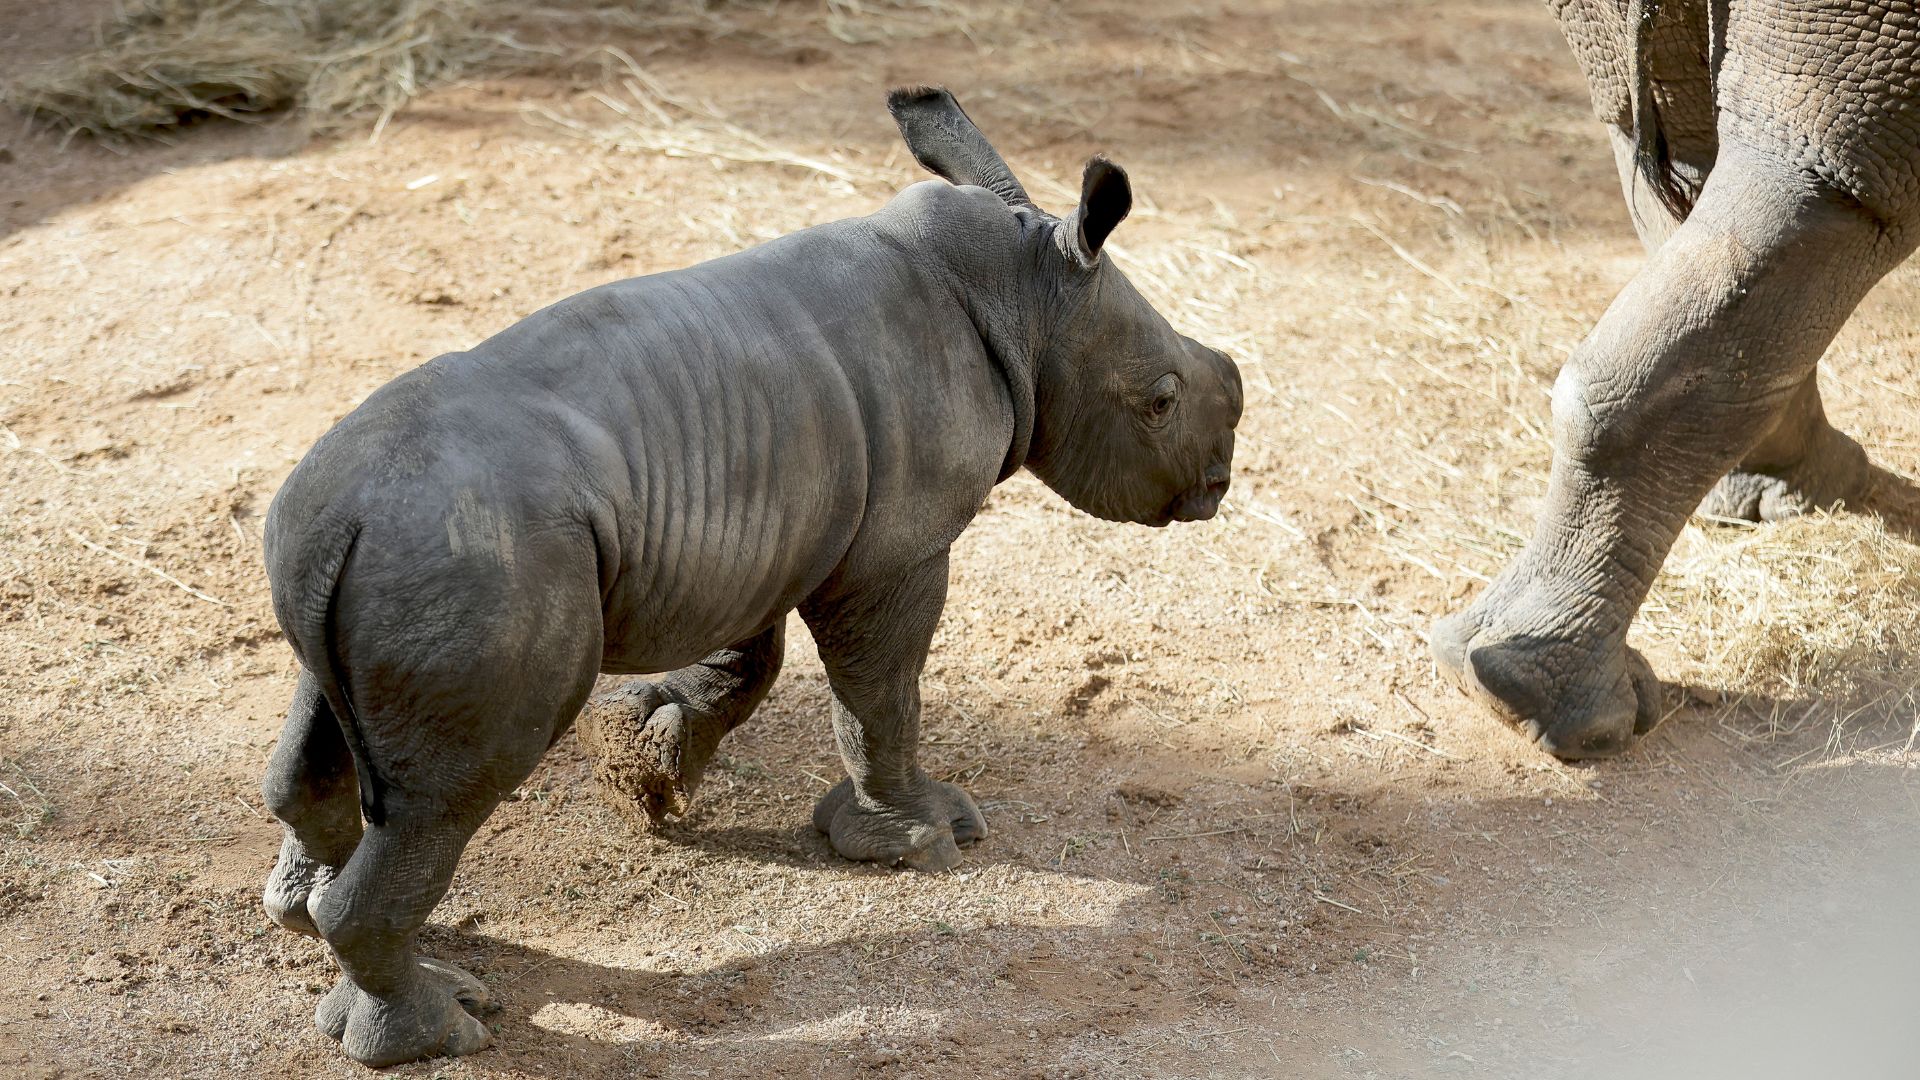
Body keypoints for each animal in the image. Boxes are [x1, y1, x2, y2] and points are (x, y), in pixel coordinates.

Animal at [257, 86, 1243, 1066]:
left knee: (325, 747)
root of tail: (340, 524)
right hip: (469, 568)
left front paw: (655, 759)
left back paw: (346, 943)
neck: (1028, 297)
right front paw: (924, 838)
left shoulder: (764, 520)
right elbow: (882, 692)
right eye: (1160, 403)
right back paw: (441, 1031)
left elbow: (755, 659)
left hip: (368, 556)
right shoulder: (895, 550)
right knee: (452, 794)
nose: (1220, 482)